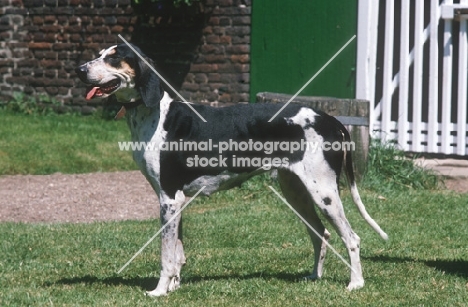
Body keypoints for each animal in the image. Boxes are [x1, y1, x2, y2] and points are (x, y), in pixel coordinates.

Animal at [76, 44, 388, 298]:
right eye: (100, 54)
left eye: (114, 57)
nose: (79, 70)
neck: (155, 116)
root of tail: (332, 120)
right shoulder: (176, 201)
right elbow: (177, 251)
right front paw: (175, 287)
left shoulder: (169, 198)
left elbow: (166, 254)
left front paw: (160, 290)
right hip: (296, 193)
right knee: (321, 235)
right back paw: (314, 277)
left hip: (324, 194)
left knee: (352, 238)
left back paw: (355, 284)